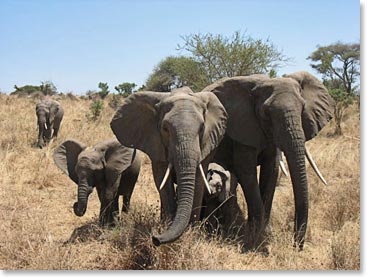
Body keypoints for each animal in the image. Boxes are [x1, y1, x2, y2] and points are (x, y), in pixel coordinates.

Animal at [110, 87, 229, 246]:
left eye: (202, 128)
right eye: (165, 128)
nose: (155, 239)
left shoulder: (207, 143)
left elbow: (198, 181)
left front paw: (192, 232)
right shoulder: (155, 142)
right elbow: (162, 181)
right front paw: (167, 224)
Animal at [204, 71, 336, 248]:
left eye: (303, 108)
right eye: (266, 113)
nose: (296, 246)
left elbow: (271, 171)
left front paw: (265, 235)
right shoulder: (242, 129)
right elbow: (247, 172)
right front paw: (256, 238)